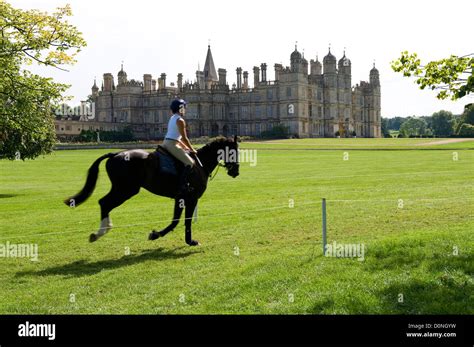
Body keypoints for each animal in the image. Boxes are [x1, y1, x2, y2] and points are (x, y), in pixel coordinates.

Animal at [64, 137, 241, 247]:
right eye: (234, 152)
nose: (236, 172)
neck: (200, 163)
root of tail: (116, 153)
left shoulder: (180, 198)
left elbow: (175, 220)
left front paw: (156, 234)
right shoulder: (191, 198)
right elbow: (186, 220)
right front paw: (189, 241)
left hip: (123, 189)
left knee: (104, 202)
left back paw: (100, 232)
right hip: (126, 190)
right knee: (105, 203)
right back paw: (101, 231)